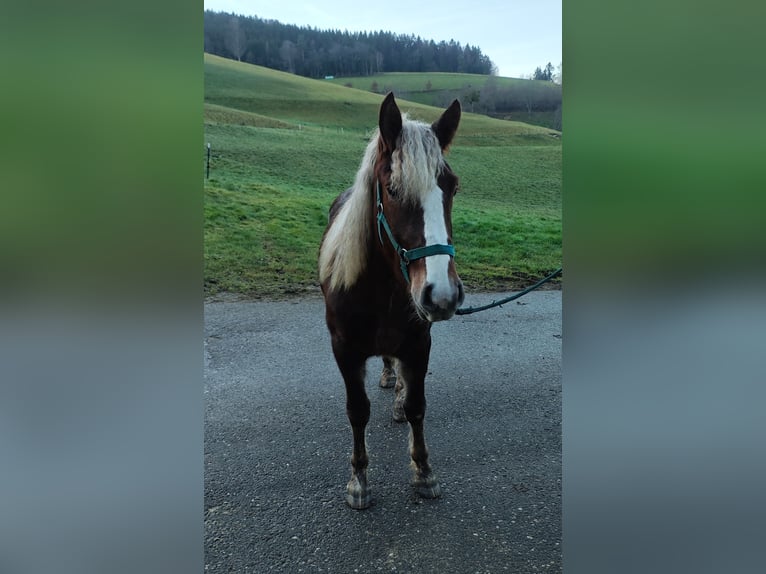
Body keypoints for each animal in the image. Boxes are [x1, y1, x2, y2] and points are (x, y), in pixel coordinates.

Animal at [318, 93, 464, 509]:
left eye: (452, 188)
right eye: (393, 189)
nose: (442, 294)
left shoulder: (419, 343)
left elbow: (417, 406)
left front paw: (424, 471)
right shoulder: (344, 349)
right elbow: (357, 411)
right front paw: (359, 479)